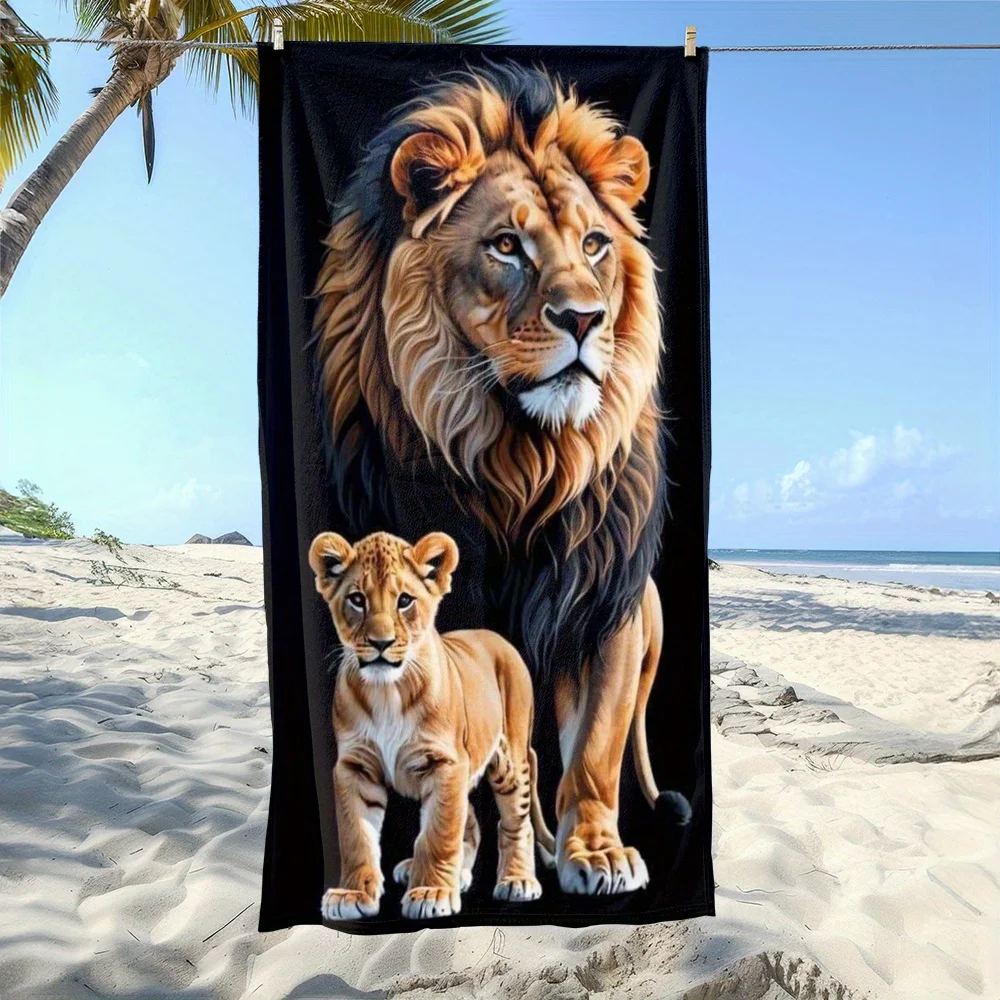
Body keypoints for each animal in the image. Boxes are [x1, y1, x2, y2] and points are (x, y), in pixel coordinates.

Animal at [309, 529, 555, 920]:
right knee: (471, 823)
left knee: (516, 822)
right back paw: (455, 876)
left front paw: (430, 893)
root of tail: (496, 637)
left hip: (509, 759)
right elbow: (355, 833)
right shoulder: (355, 766)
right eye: (357, 600)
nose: (380, 643)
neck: (387, 690)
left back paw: (517, 881)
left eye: (405, 600)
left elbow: (439, 833)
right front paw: (352, 895)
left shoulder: (445, 763)